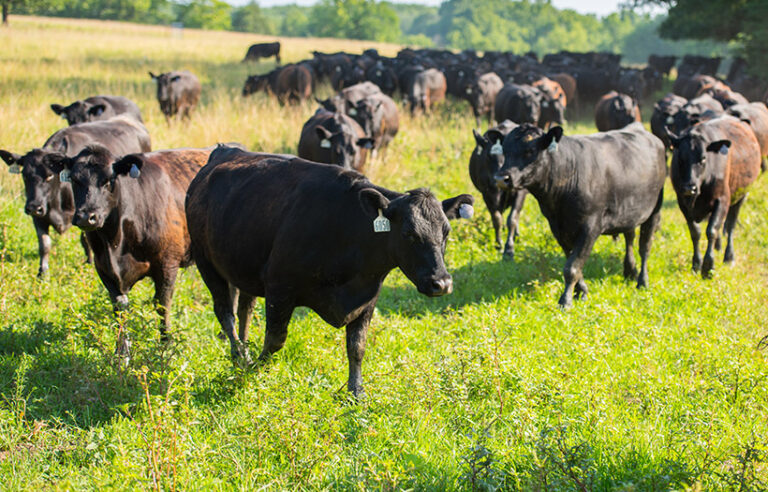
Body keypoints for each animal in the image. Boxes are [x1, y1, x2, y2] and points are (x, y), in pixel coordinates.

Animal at [0, 115, 152, 276]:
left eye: (49, 176)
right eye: (24, 175)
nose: (34, 207)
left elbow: (85, 240)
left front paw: (89, 262)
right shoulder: (40, 216)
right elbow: (44, 244)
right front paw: (43, 272)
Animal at [186, 146, 474, 396]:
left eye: (446, 232)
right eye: (409, 234)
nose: (441, 283)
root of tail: (223, 151)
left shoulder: (368, 296)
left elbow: (357, 346)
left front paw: (356, 392)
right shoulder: (279, 286)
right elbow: (275, 339)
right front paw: (255, 371)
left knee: (244, 308)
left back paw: (244, 349)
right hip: (206, 263)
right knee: (225, 312)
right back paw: (239, 356)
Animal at [464, 120, 524, 258]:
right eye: (488, 156)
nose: (500, 178)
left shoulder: (521, 191)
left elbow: (512, 218)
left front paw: (509, 248)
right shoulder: (487, 193)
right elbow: (497, 219)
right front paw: (498, 244)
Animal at [498, 122, 664, 306]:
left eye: (530, 150)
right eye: (504, 150)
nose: (501, 178)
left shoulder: (591, 226)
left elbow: (572, 267)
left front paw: (565, 300)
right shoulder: (558, 227)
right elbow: (572, 260)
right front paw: (581, 291)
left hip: (655, 210)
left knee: (645, 247)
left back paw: (642, 281)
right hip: (629, 212)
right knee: (630, 237)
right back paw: (630, 271)